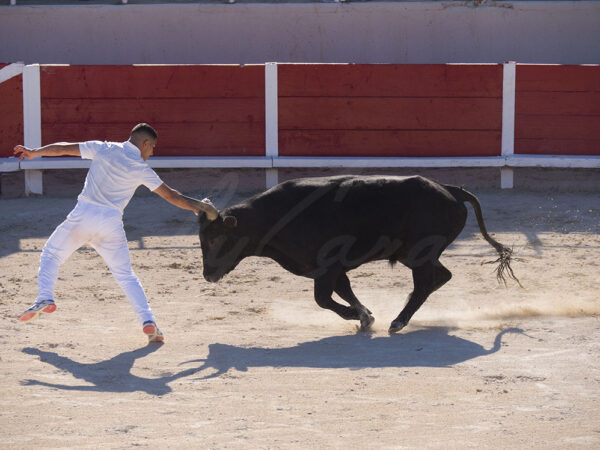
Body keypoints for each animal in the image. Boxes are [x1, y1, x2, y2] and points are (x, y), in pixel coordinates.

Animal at [198, 174, 520, 332]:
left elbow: (323, 299)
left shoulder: (326, 266)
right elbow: (344, 291)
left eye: (214, 239)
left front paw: (363, 317)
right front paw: (366, 314)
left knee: (425, 283)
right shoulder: (331, 269)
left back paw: (398, 321)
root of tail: (450, 189)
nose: (208, 275)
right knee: (441, 276)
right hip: (413, 253)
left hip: (421, 253)